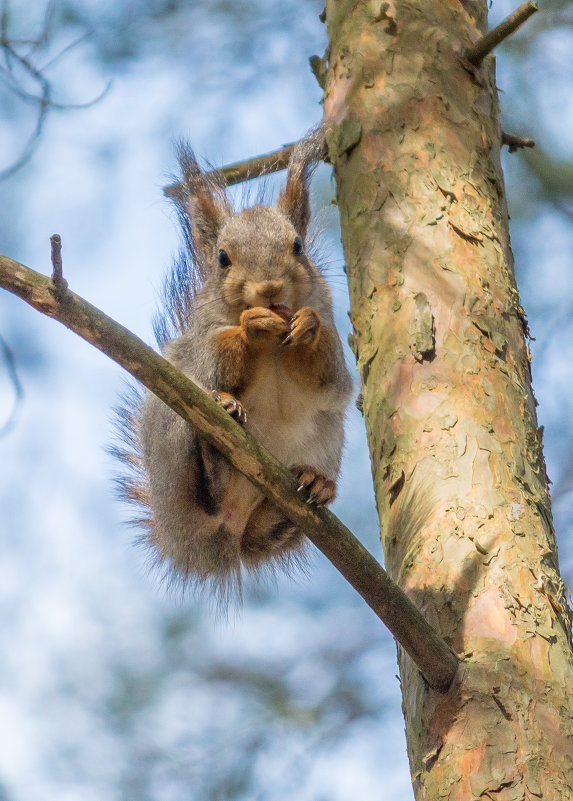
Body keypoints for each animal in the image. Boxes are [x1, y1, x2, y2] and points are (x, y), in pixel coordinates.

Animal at [111, 131, 354, 604]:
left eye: (298, 246)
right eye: (222, 258)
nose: (269, 288)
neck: (275, 348)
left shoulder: (332, 347)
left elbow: (330, 378)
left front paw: (308, 327)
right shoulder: (200, 346)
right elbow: (215, 360)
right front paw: (250, 326)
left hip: (326, 437)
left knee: (264, 531)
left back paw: (312, 488)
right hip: (172, 435)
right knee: (205, 485)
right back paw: (216, 447)